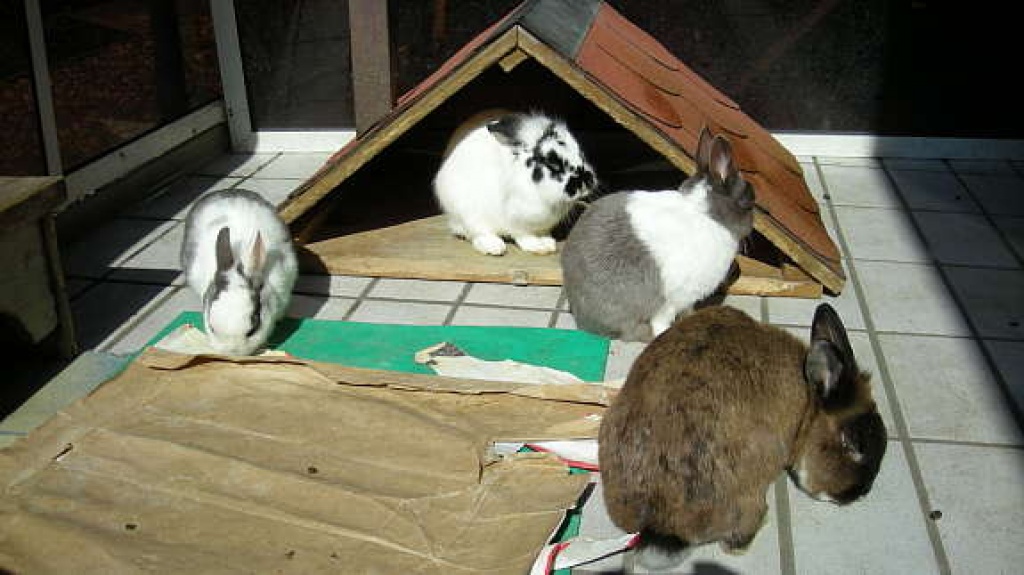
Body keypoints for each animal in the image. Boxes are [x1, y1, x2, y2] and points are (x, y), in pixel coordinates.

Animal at [432, 110, 597, 256]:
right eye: (552, 164)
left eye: (581, 154)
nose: (586, 183)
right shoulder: (517, 221)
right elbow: (524, 237)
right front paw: (538, 247)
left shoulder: (542, 225)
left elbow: (544, 233)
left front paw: (548, 243)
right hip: (469, 213)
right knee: (477, 234)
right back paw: (495, 247)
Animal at [561, 126, 755, 342]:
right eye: (747, 203)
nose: (751, 227)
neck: (708, 215)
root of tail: (583, 319)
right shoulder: (673, 298)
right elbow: (662, 321)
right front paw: (667, 332)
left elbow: (688, 311)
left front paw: (692, 317)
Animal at [598, 304, 887, 572]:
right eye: (854, 444)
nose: (860, 493)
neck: (808, 403)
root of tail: (660, 527)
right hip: (752, 495)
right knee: (737, 540)